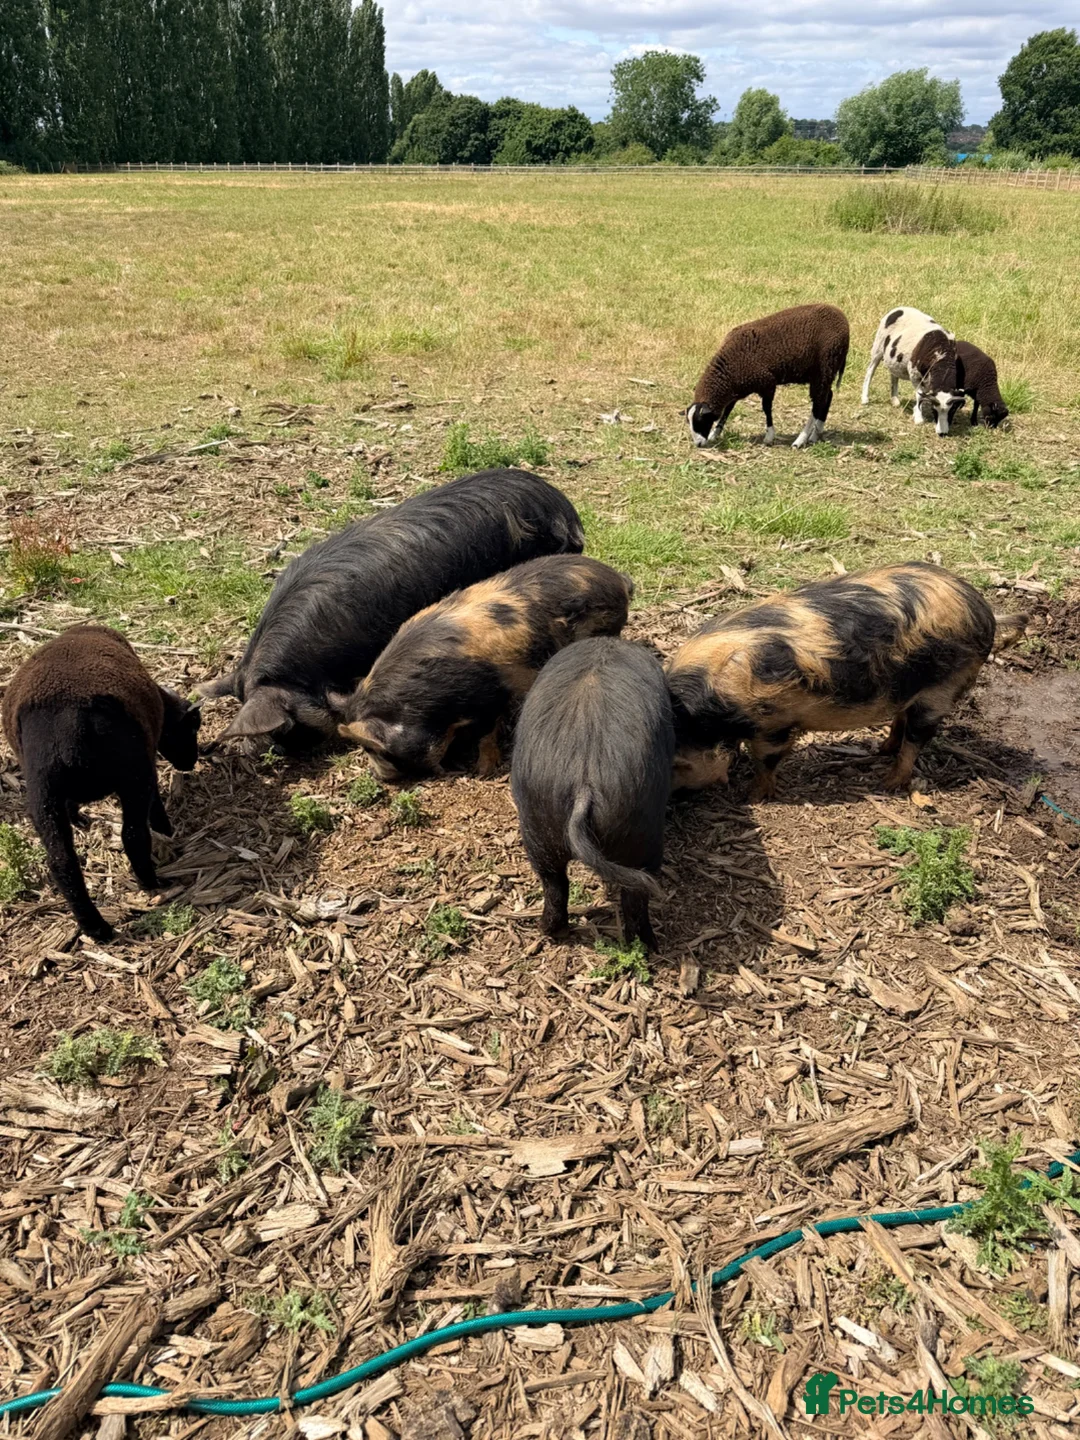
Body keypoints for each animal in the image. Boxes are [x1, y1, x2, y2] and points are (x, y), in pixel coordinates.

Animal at [2, 625, 201, 941]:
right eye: (191, 728)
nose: (191, 763)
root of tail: (70, 725)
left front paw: (78, 818)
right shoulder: (146, 764)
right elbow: (155, 807)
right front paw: (166, 830)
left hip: (42, 794)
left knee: (63, 861)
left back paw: (95, 927)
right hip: (134, 776)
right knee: (133, 835)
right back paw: (151, 882)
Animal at [335, 555, 633, 780]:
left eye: (374, 749)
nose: (378, 777)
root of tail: (617, 579)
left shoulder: (490, 697)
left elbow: (487, 733)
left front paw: (483, 771)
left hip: (605, 627)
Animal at [511, 637, 674, 951]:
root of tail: (582, 783)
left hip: (538, 822)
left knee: (555, 883)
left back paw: (550, 931)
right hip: (642, 834)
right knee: (635, 895)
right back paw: (647, 945)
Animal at [665, 562, 1021, 798]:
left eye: (679, 765)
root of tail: (985, 610)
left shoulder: (773, 722)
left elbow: (766, 760)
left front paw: (754, 795)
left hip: (943, 688)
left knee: (918, 737)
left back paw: (888, 783)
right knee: (902, 718)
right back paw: (882, 749)